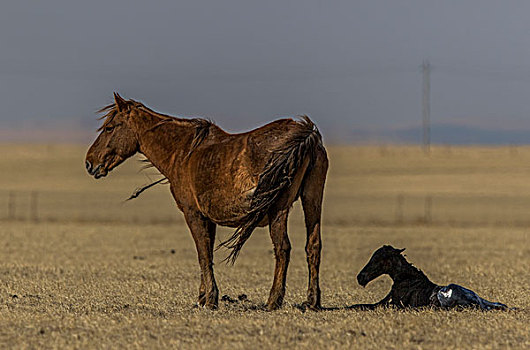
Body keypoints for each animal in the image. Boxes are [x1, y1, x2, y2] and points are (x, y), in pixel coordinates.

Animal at [84, 92, 326, 308]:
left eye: (109, 127)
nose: (89, 163)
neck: (183, 152)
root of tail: (306, 133)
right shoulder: (208, 218)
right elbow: (207, 252)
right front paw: (203, 297)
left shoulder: (193, 213)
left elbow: (202, 253)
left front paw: (210, 298)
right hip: (312, 199)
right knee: (313, 246)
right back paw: (312, 301)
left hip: (280, 208)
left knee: (282, 247)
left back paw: (273, 301)